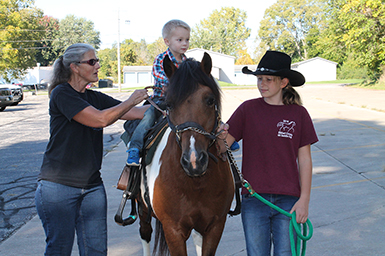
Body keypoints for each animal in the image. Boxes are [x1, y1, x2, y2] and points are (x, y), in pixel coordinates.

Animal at [138, 53, 234, 255]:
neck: (195, 183)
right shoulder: (173, 230)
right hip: (142, 208)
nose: (194, 160)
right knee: (145, 234)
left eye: (210, 100)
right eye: (170, 104)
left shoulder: (215, 226)